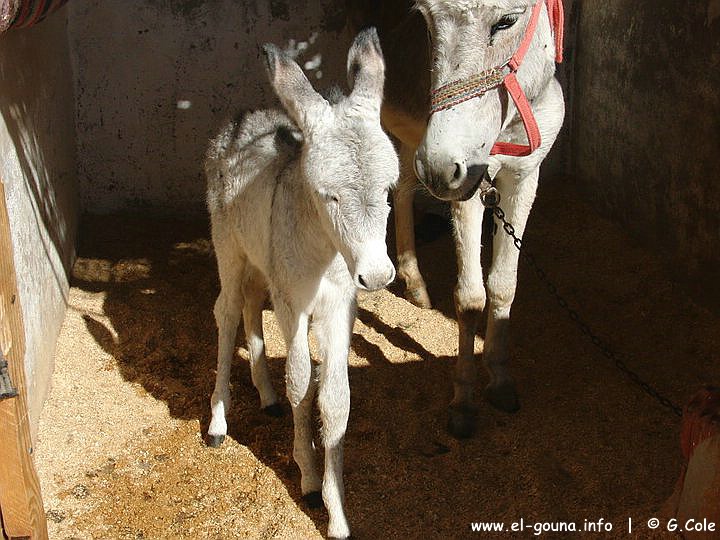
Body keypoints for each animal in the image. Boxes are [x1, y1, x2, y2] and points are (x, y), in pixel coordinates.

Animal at [204, 29, 400, 540]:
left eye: (388, 190)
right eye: (330, 196)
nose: (378, 275)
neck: (326, 253)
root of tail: (246, 116)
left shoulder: (339, 307)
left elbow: (335, 401)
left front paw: (338, 512)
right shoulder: (293, 304)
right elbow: (300, 382)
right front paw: (309, 477)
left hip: (260, 260)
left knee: (251, 306)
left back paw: (265, 395)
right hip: (229, 248)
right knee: (228, 311)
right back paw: (218, 419)